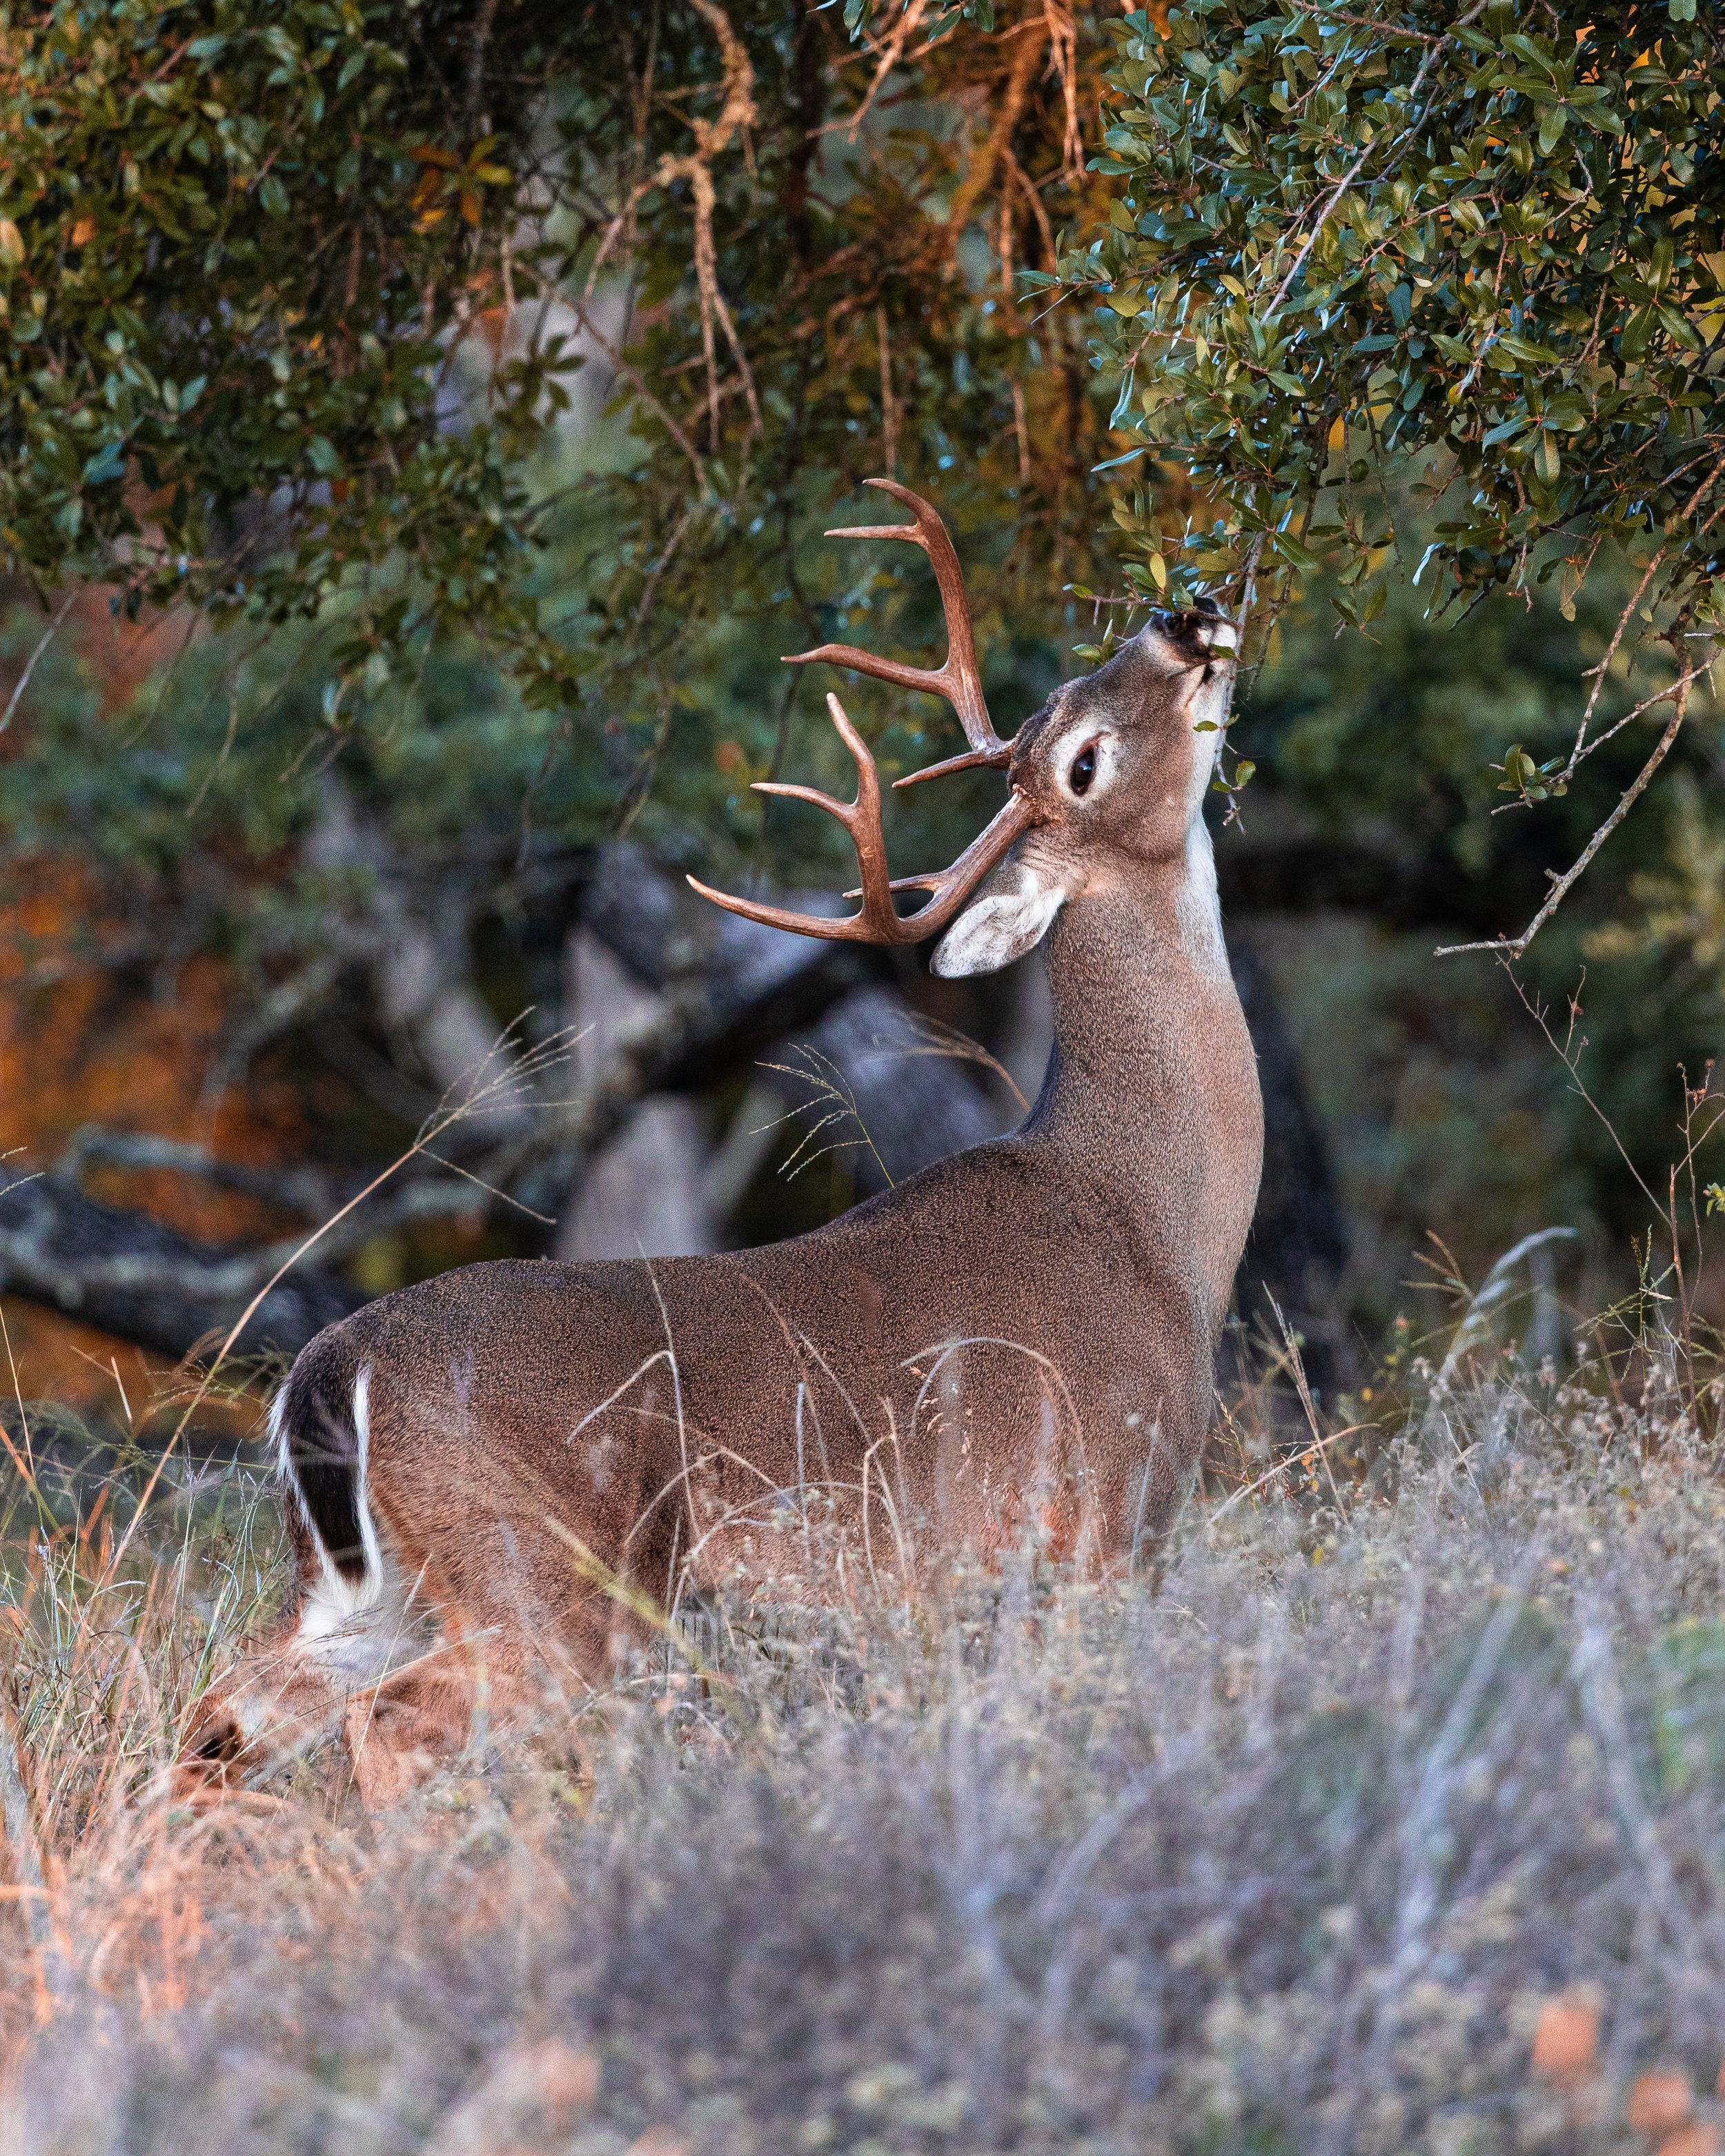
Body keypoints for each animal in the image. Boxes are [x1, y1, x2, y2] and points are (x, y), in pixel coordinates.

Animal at [182, 485, 1268, 1802]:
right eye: (1085, 759)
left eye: (1073, 684)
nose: (1183, 614)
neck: (1155, 1219)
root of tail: (330, 1366)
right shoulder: (1112, 1513)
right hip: (548, 1574)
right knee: (386, 1725)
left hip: (357, 1591)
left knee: (225, 1713)